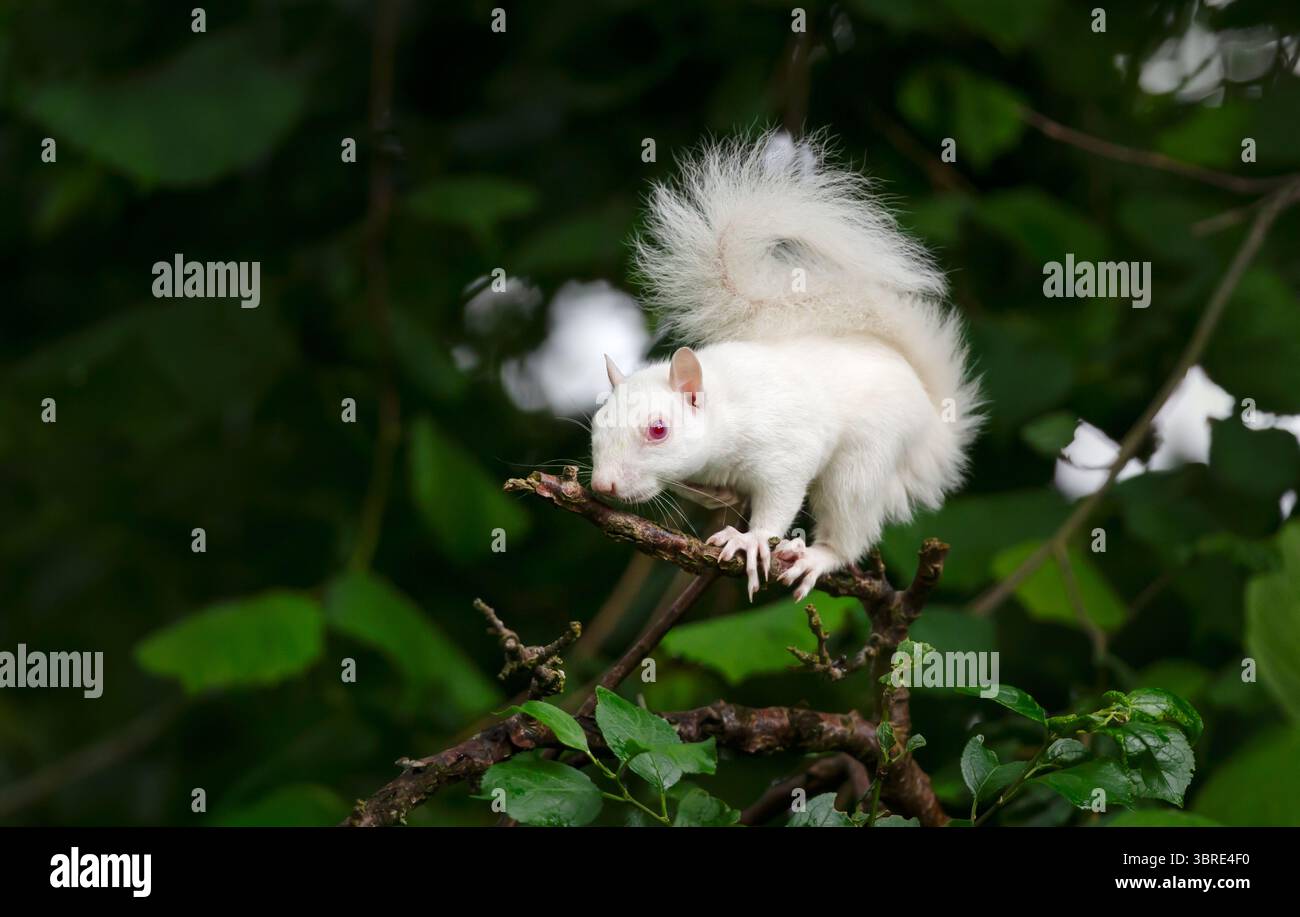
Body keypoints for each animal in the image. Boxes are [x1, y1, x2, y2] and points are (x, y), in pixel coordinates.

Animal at [591, 132, 983, 601]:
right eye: (596, 422)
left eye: (658, 429)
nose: (602, 485)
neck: (729, 405)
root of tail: (932, 420)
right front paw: (717, 496)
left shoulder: (786, 448)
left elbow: (779, 498)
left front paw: (753, 539)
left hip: (863, 462)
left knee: (849, 530)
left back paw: (818, 556)